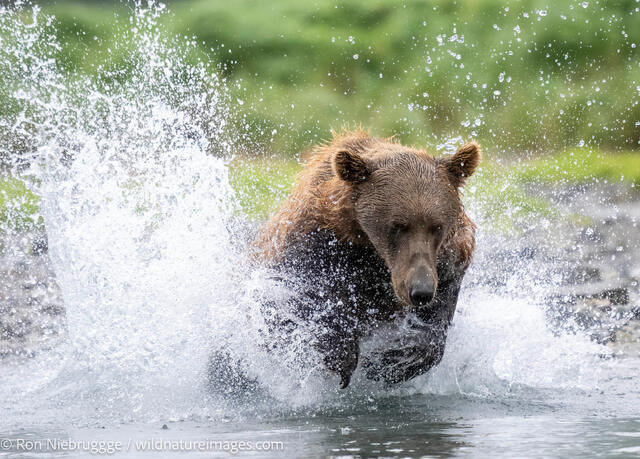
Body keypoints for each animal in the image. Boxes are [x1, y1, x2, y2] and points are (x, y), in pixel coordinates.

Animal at [252, 129, 479, 388]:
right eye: (398, 225)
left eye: (437, 226)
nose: (420, 291)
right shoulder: (314, 249)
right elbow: (297, 303)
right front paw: (342, 356)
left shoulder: (448, 263)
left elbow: (434, 324)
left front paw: (389, 363)